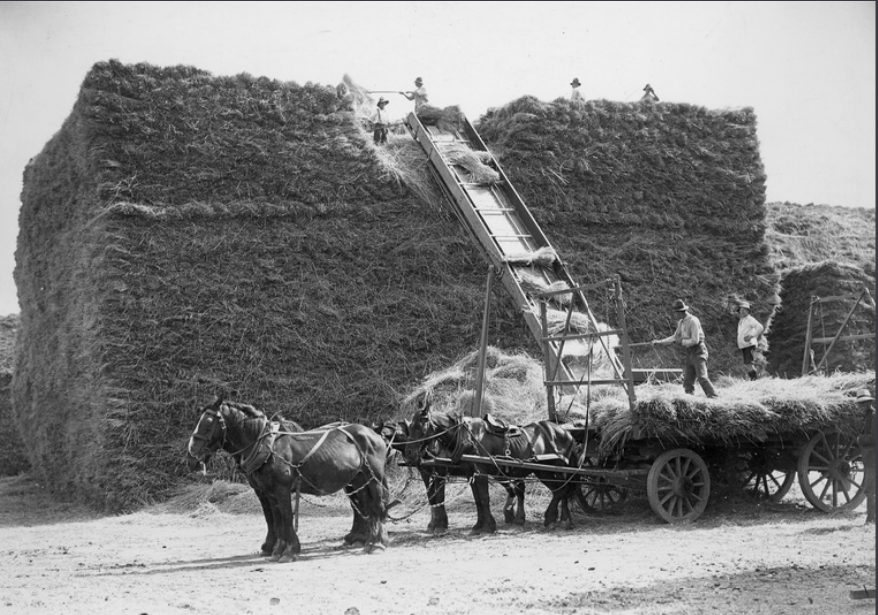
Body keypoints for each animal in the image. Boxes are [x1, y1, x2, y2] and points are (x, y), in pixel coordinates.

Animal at [189, 394, 392, 564]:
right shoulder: (268, 491)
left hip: (374, 478)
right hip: (358, 480)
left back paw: (377, 543)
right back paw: (366, 540)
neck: (266, 446)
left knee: (378, 505)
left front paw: (289, 551)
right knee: (366, 507)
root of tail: (374, 434)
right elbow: (276, 520)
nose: (192, 451)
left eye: (208, 421)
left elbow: (285, 517)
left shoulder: (281, 488)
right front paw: (277, 549)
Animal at [406, 394, 584, 536]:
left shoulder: (480, 473)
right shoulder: (472, 474)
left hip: (550, 469)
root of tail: (564, 432)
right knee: (562, 490)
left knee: (560, 490)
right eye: (409, 426)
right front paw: (478, 525)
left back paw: (551, 519)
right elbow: (477, 500)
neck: (467, 437)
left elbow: (484, 498)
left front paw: (489, 526)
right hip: (548, 471)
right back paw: (563, 520)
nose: (410, 453)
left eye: (421, 424)